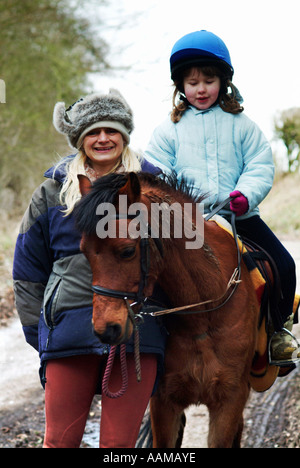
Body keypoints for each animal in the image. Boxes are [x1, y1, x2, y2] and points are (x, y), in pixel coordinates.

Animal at [74, 171, 270, 446]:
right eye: (84, 252)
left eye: (127, 251)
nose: (106, 329)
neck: (205, 316)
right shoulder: (164, 400)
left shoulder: (230, 399)